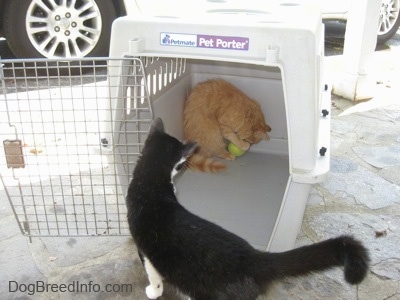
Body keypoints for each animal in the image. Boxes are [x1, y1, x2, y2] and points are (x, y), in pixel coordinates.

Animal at [126, 118, 370, 298]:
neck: (151, 181)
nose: (184, 166)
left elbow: (153, 273)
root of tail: (254, 258)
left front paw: (153, 291)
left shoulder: (143, 248)